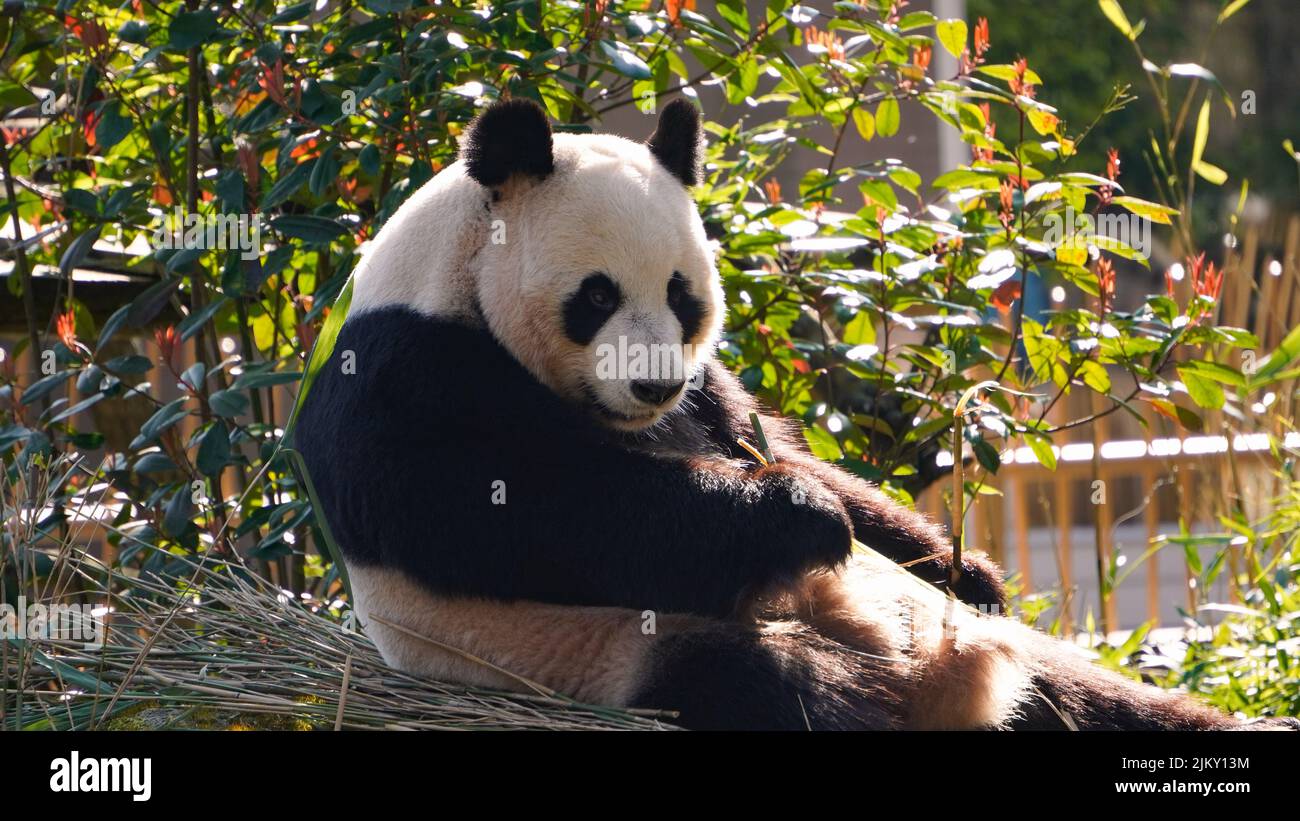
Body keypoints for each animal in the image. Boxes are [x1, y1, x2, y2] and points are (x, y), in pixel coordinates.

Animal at [299, 98, 1294, 732]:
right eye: (596, 296)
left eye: (683, 295)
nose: (654, 386)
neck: (454, 270)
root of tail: (940, 681)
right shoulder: (407, 371)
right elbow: (520, 509)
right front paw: (797, 520)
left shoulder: (708, 388)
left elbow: (775, 442)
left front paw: (966, 565)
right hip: (621, 651)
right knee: (791, 695)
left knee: (1095, 700)